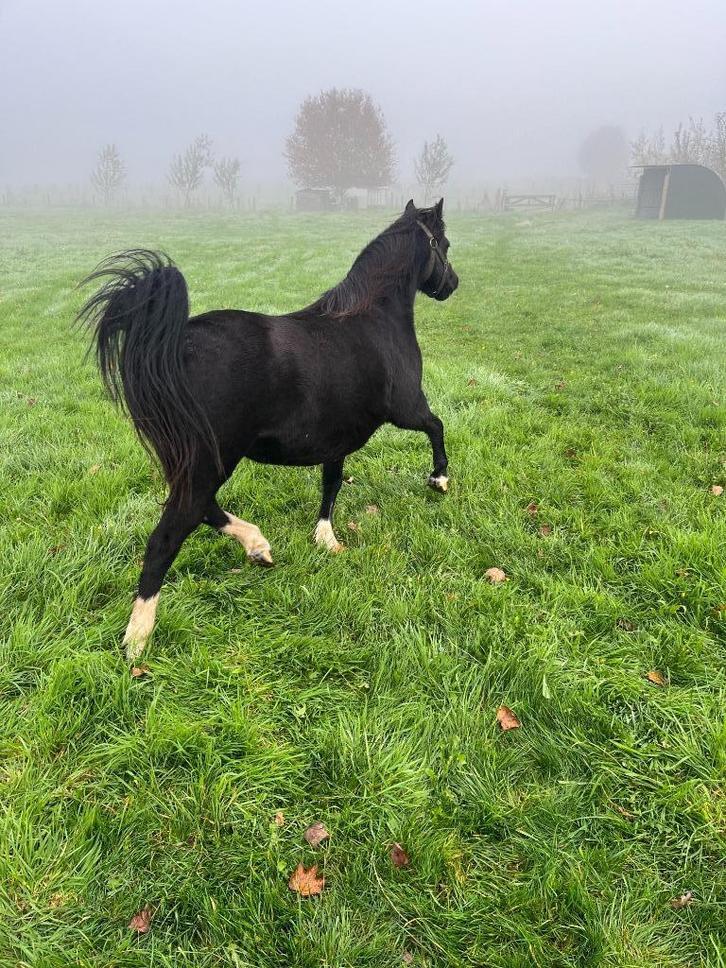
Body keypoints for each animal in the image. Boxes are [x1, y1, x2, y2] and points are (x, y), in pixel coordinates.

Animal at [78, 198, 458, 661]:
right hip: (211, 460)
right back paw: (137, 641)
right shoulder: (407, 408)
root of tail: (174, 343)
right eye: (444, 244)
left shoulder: (336, 438)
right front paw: (438, 479)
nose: (452, 284)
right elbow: (437, 427)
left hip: (192, 461)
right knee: (168, 535)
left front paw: (326, 539)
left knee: (201, 509)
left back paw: (257, 546)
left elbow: (331, 484)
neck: (373, 316)